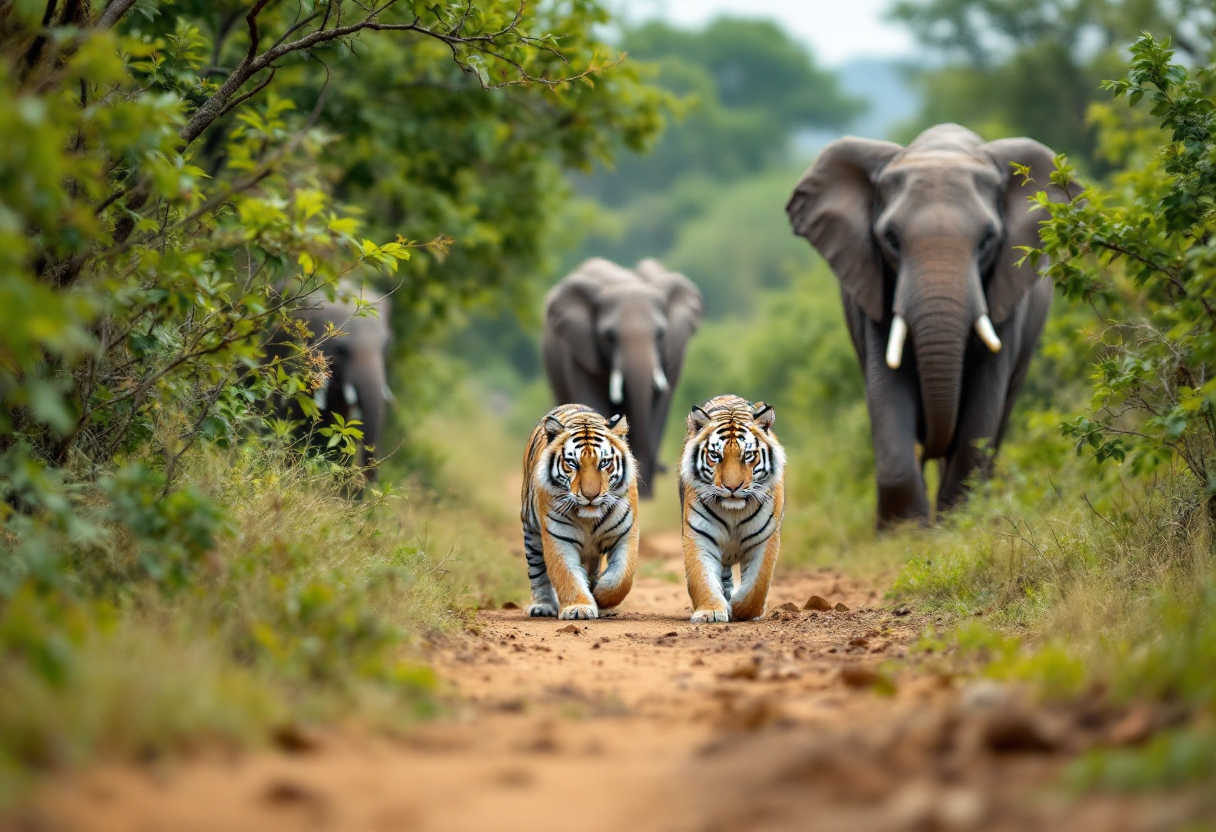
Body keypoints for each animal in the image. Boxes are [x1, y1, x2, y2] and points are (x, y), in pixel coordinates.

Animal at [518, 398, 642, 620]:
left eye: (604, 463)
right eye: (572, 463)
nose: (590, 495)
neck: (589, 518)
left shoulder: (626, 534)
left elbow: (621, 578)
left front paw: (600, 595)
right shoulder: (558, 539)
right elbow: (566, 576)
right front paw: (579, 608)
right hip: (531, 532)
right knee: (537, 571)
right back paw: (542, 606)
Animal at [542, 256, 705, 496]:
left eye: (661, 334)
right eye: (609, 336)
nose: (663, 468)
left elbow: (657, 410)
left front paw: (642, 494)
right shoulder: (580, 351)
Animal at [676, 396, 787, 622]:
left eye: (748, 455)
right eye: (715, 455)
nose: (732, 487)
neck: (733, 512)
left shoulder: (765, 539)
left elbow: (757, 586)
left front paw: (739, 609)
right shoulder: (698, 536)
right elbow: (701, 578)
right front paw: (711, 611)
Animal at [787, 121, 1074, 525]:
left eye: (988, 239)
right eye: (891, 239)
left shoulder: (1006, 297)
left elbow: (982, 406)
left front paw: (960, 526)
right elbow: (887, 390)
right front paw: (905, 531)